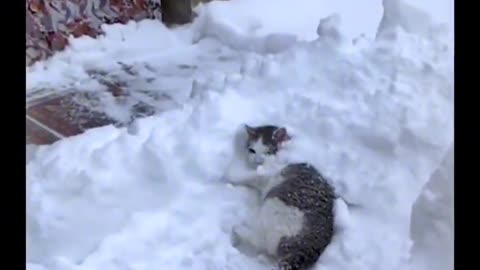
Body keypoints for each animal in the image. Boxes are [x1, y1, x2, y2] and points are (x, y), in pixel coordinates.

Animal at [223, 124, 336, 270]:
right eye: (252, 150)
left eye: (268, 152)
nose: (258, 161)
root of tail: (305, 249)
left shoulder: (268, 175)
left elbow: (250, 176)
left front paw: (231, 173)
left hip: (276, 204)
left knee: (262, 242)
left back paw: (238, 228)